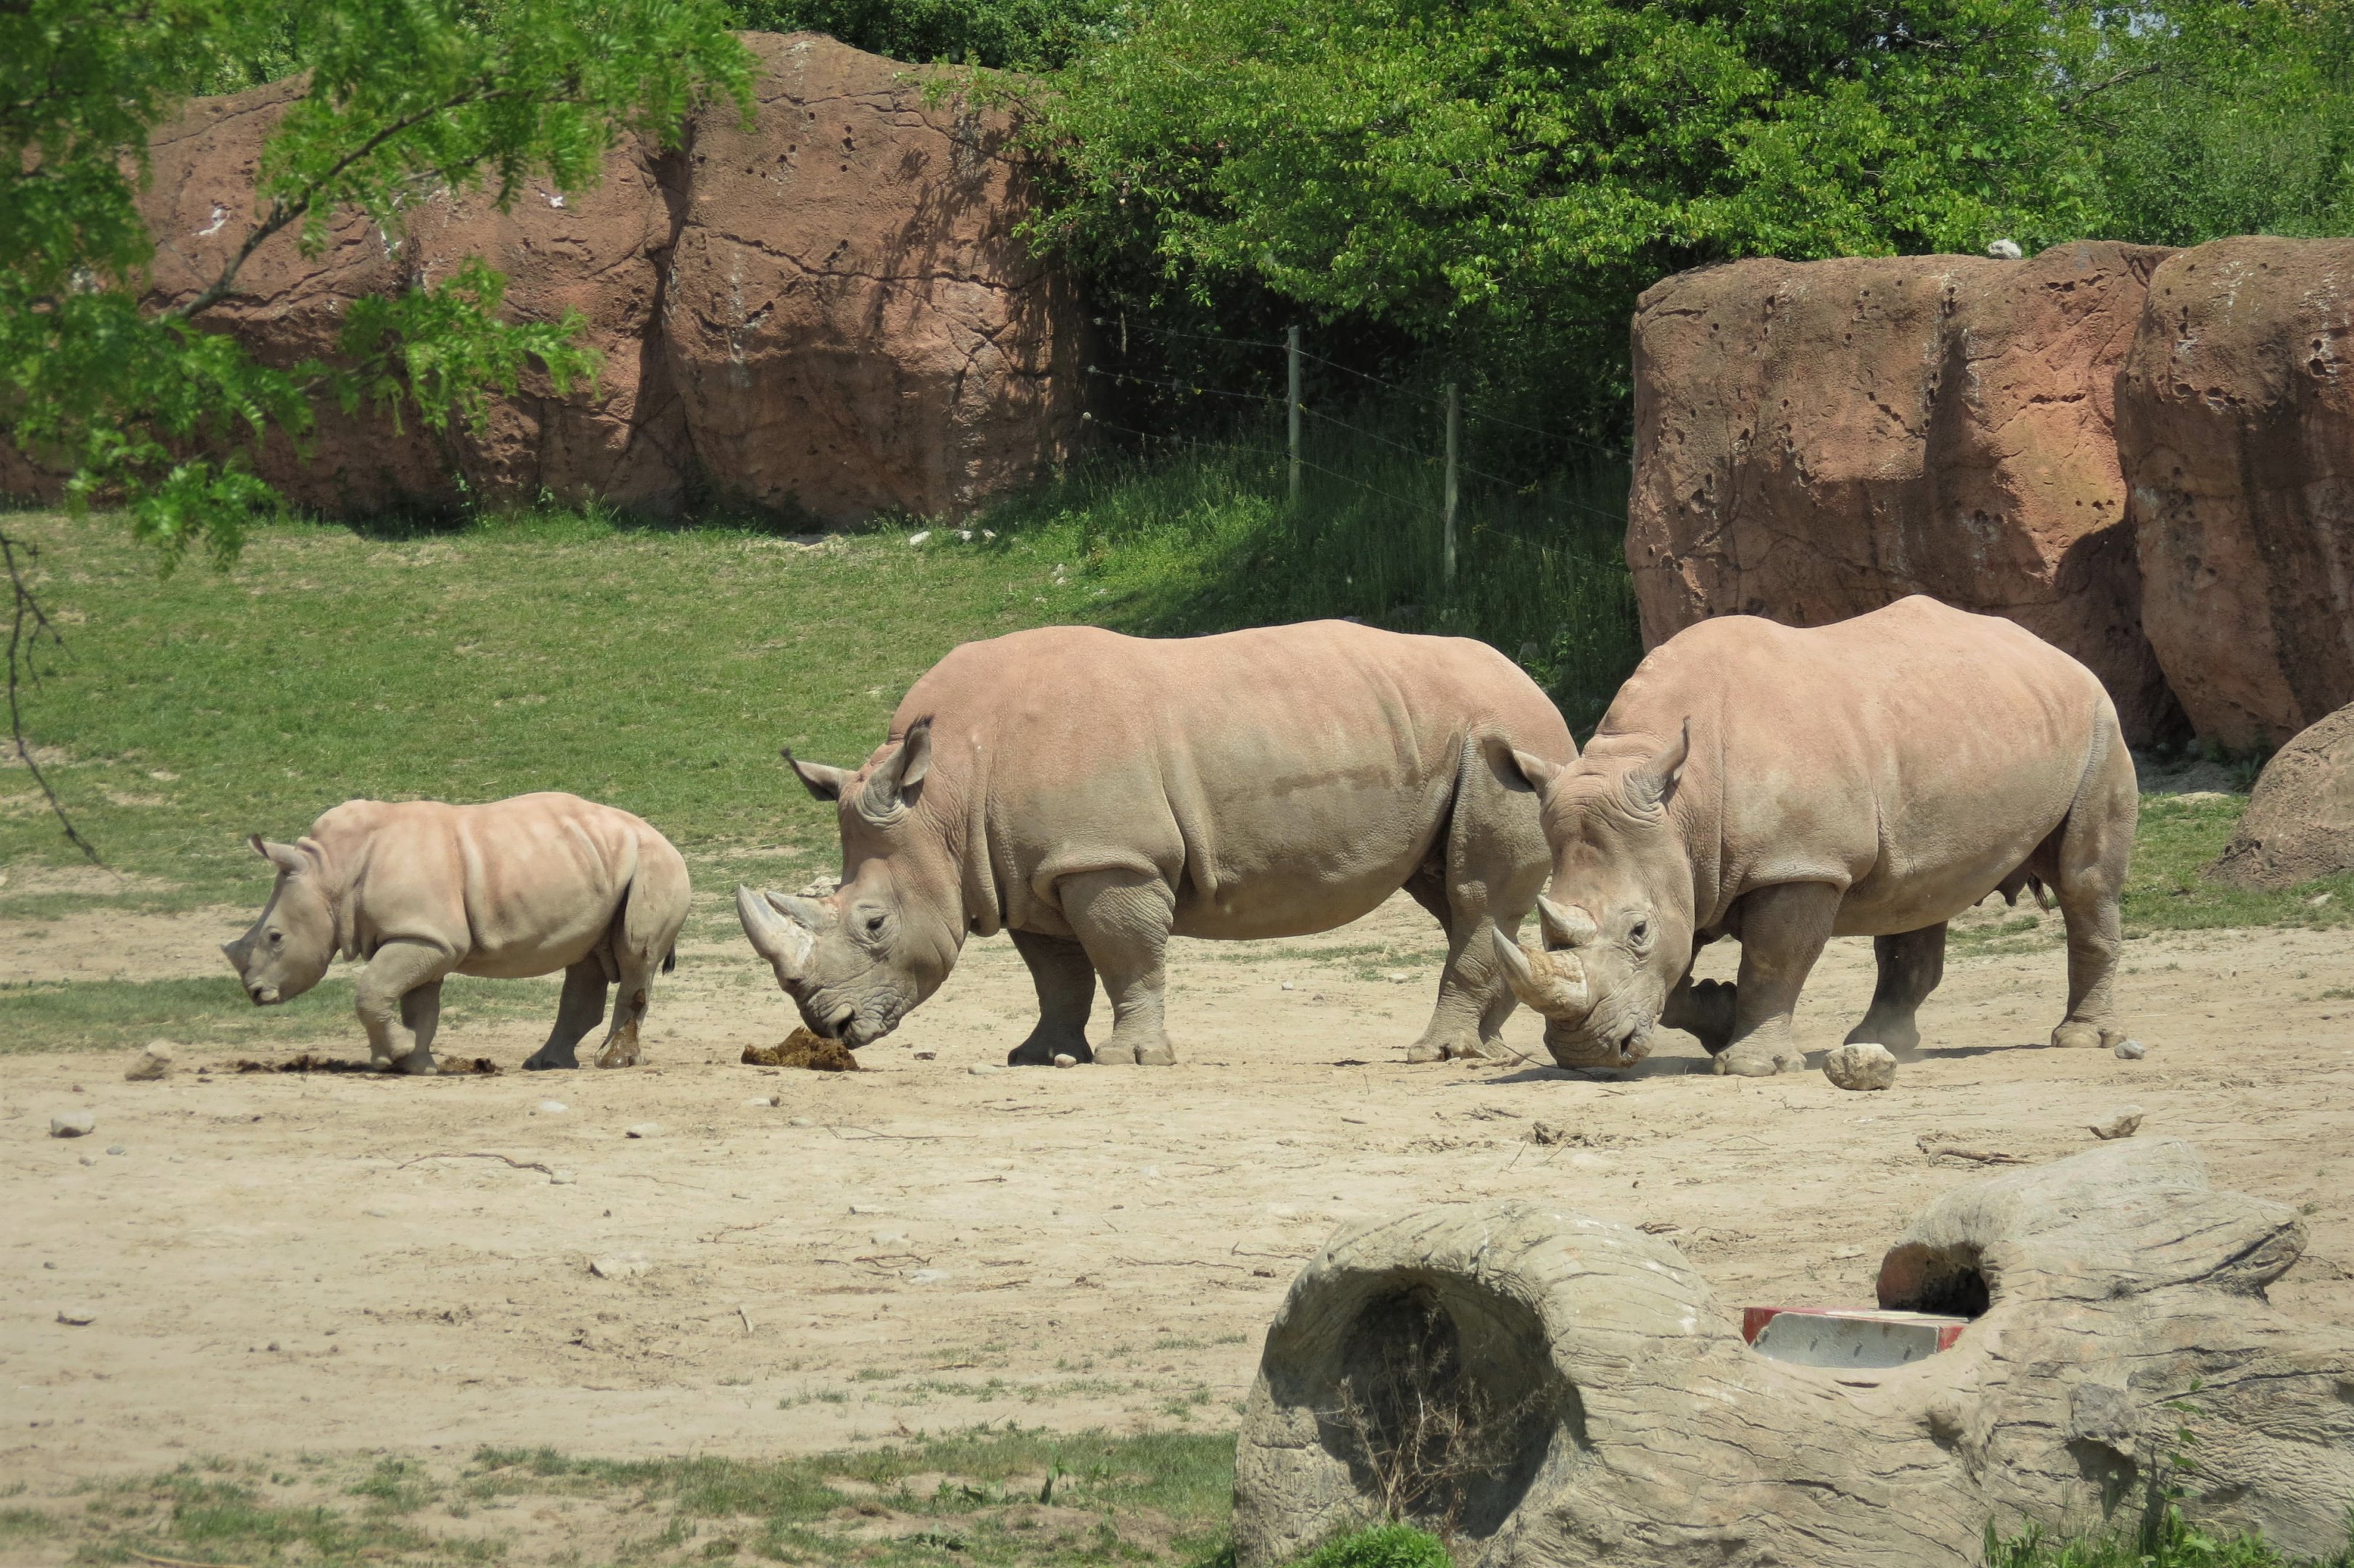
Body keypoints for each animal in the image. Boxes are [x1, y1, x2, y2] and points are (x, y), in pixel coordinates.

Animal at [221, 793, 690, 1074]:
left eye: (275, 938)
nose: (255, 993)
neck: (331, 871)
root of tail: (664, 838)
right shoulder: (424, 937)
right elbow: (417, 1006)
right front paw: (413, 1062)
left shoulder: (424, 936)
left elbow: (372, 991)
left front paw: (394, 1056)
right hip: (601, 866)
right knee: (587, 960)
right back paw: (545, 1064)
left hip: (655, 866)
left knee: (634, 956)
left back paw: (612, 1063)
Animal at [735, 621, 1575, 1066]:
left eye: (874, 923)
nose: (830, 1027)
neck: (944, 794)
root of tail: (1537, 688)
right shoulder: (1031, 871)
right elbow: (1057, 974)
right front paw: (1040, 1056)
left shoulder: (1108, 859)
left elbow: (1125, 958)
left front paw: (1129, 1060)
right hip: (1451, 739)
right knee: (1456, 899)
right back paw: (1490, 1053)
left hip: (1503, 742)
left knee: (1473, 894)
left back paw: (1438, 1056)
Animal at [1493, 596, 2137, 1076]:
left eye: (1637, 931)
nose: (1583, 1054)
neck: (1683, 805)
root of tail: (2052, 651)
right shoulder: (1688, 865)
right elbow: (1677, 974)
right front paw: (1718, 1012)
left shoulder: (1800, 863)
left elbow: (1772, 960)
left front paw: (1749, 1064)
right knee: (1917, 894)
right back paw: (1881, 1041)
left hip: (2099, 721)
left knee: (2084, 883)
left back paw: (2080, 1041)